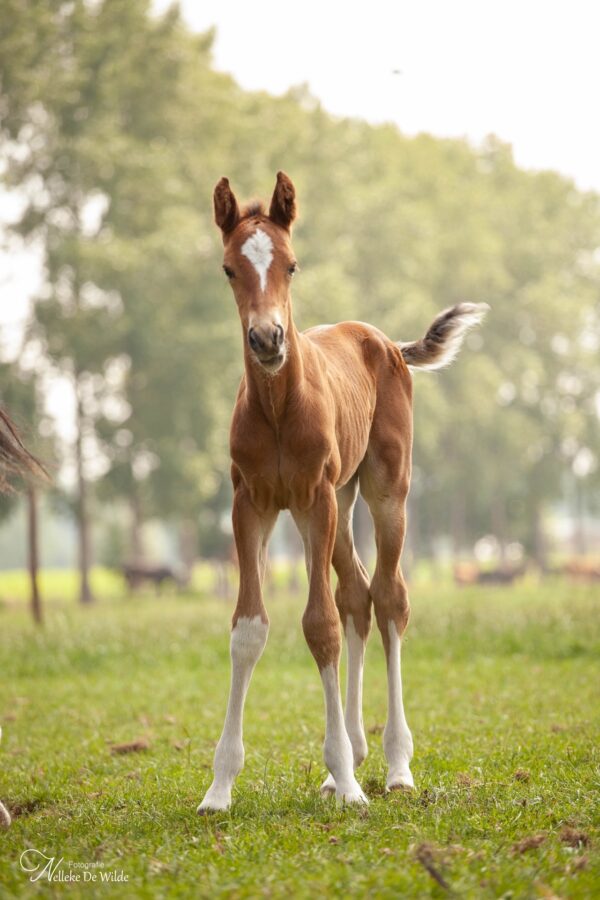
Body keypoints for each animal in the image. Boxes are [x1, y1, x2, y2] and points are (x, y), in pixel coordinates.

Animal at [197, 172, 488, 812]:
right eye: (229, 269)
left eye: (291, 264)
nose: (267, 339)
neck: (280, 407)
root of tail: (388, 343)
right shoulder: (251, 503)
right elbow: (249, 628)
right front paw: (220, 786)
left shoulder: (315, 499)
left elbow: (320, 625)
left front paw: (353, 785)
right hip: (339, 501)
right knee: (357, 593)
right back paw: (350, 758)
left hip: (381, 491)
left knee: (390, 597)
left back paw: (395, 765)